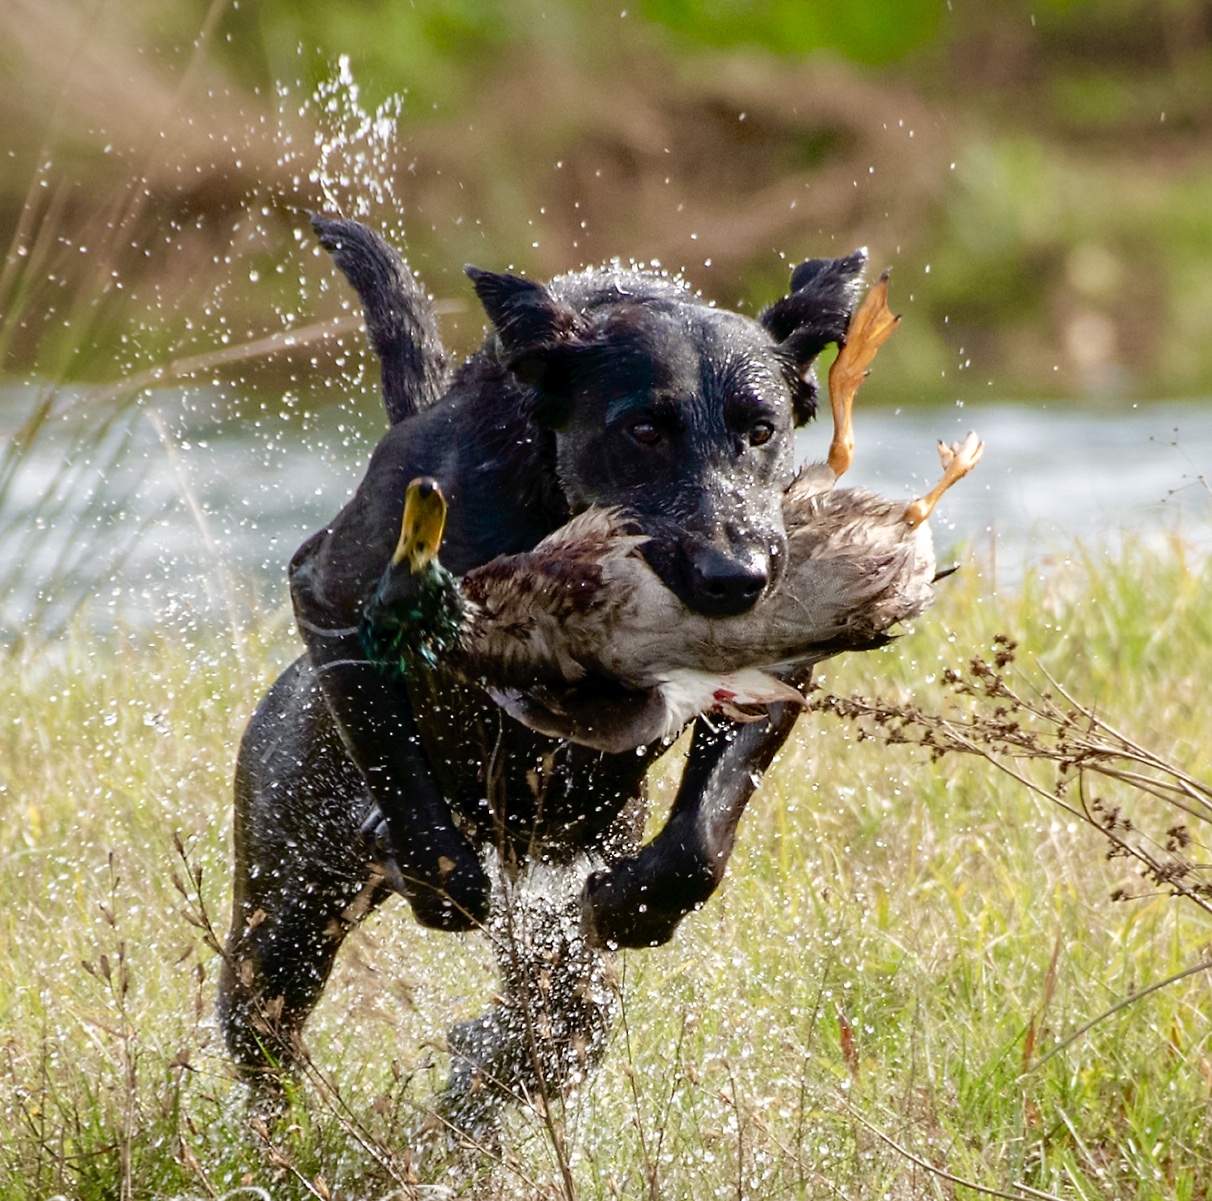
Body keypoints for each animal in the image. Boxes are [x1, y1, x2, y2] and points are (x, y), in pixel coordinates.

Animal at [215, 218, 862, 1119]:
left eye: (760, 429)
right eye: (644, 430)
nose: (734, 576)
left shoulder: (778, 666)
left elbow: (701, 836)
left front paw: (641, 901)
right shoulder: (327, 590)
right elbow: (410, 790)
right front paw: (437, 870)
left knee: (556, 1027)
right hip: (285, 913)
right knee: (265, 1036)